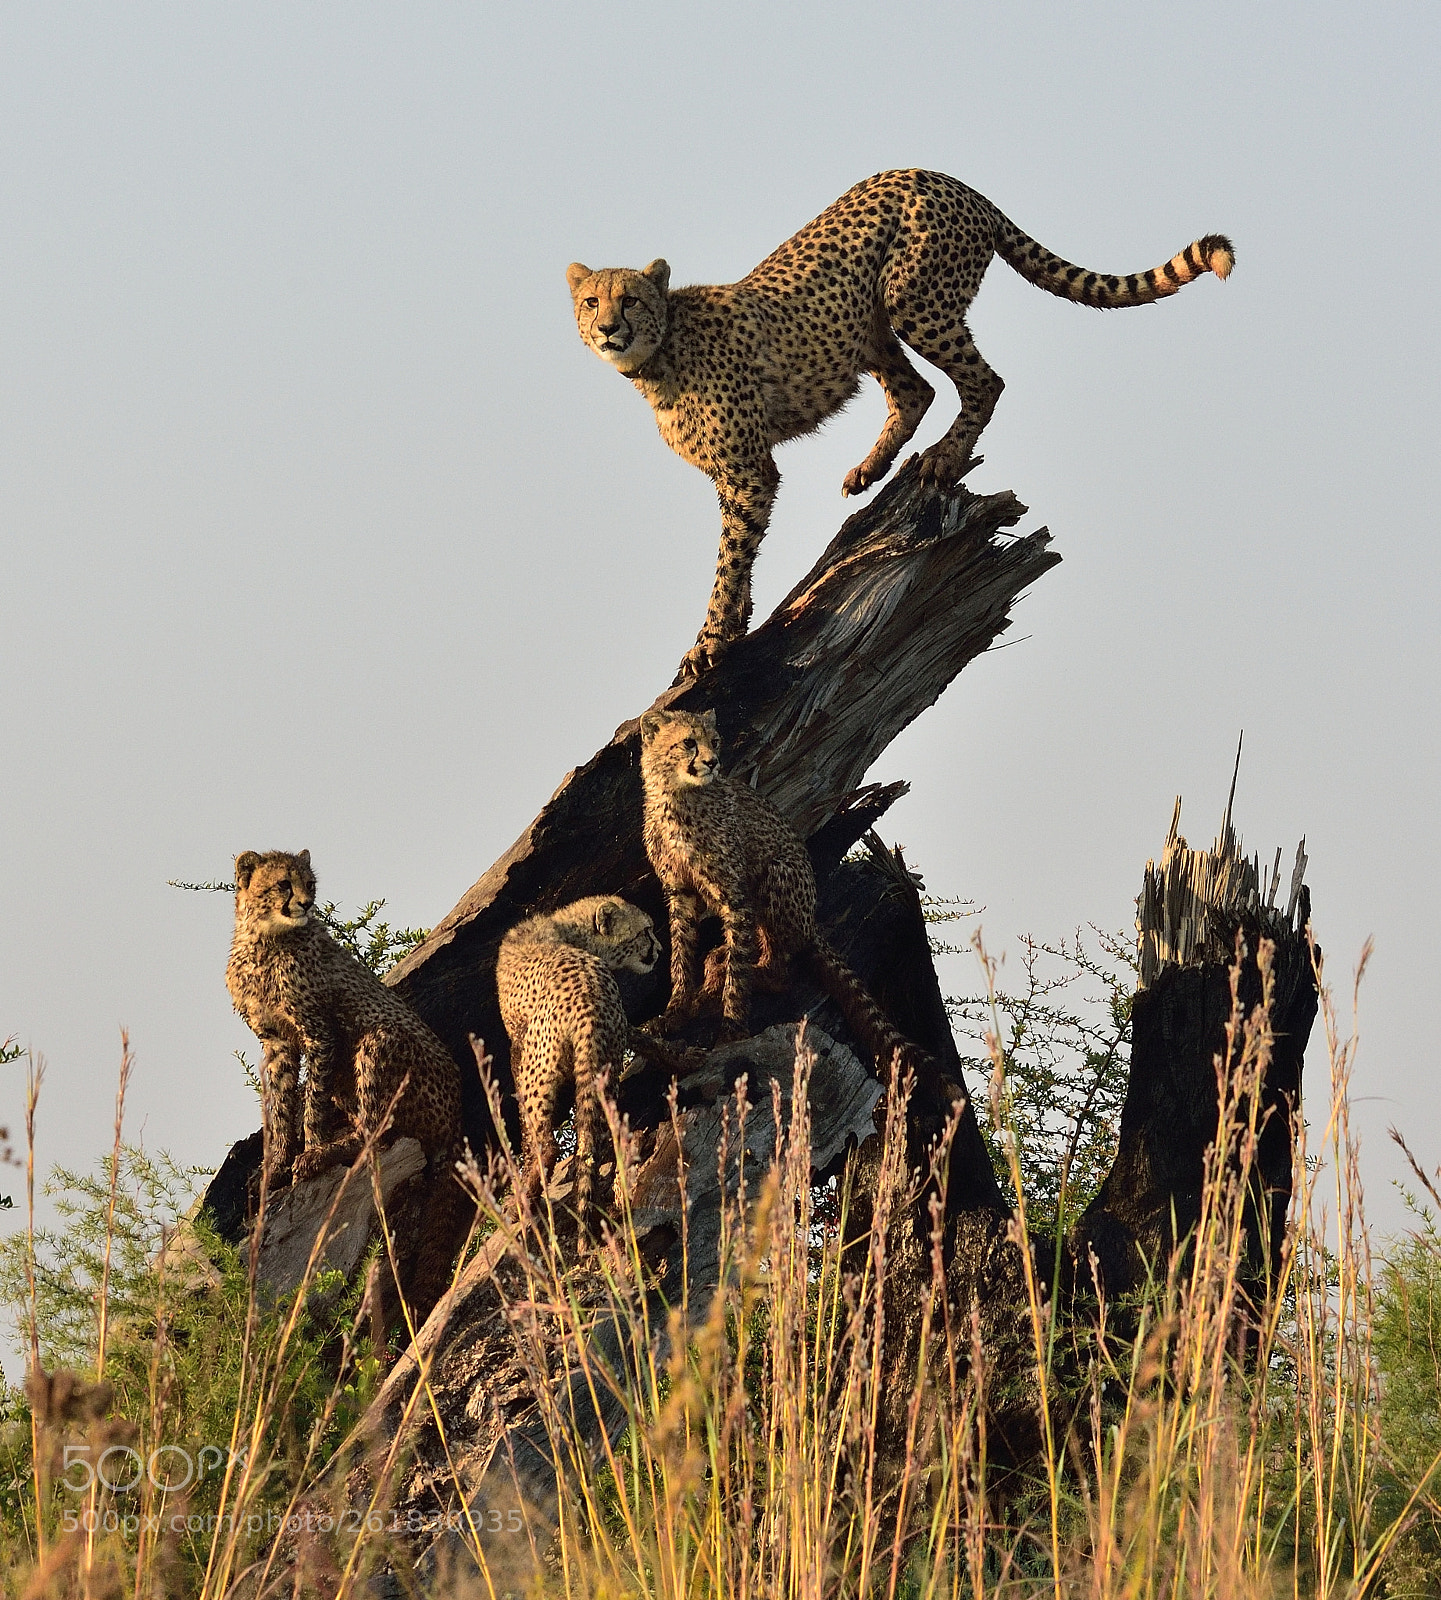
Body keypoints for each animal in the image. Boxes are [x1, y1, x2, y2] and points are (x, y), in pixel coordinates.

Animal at [225, 848, 468, 1327]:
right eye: (283, 884)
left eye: (309, 884)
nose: (306, 904)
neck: (265, 939)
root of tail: (457, 1116)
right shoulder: (276, 1042)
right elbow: (281, 1105)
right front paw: (275, 1166)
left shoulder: (321, 1035)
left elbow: (311, 1102)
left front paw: (310, 1153)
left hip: (379, 1043)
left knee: (381, 1134)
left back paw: (335, 1149)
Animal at [495, 895, 668, 1230]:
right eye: (645, 931)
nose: (660, 950)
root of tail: (588, 996)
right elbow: (648, 1041)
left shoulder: (518, 1047)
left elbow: (524, 1129)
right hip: (604, 1064)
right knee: (597, 1134)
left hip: (539, 1067)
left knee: (546, 1144)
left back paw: (524, 1200)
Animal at [568, 168, 1234, 680]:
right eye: (591, 301)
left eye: (630, 299)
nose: (607, 328)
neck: (659, 357)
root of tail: (945, 176)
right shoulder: (733, 476)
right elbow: (740, 553)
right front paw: (730, 628)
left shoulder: (749, 471)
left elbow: (729, 558)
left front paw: (709, 642)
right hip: (870, 323)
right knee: (916, 389)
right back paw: (872, 467)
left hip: (912, 298)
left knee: (982, 382)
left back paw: (943, 457)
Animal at [639, 707, 932, 1092]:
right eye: (688, 742)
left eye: (714, 741)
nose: (713, 761)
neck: (677, 795)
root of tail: (812, 919)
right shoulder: (680, 893)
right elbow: (680, 956)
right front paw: (673, 1013)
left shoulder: (735, 893)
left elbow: (738, 974)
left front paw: (731, 1032)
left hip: (778, 874)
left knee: (779, 972)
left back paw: (734, 969)